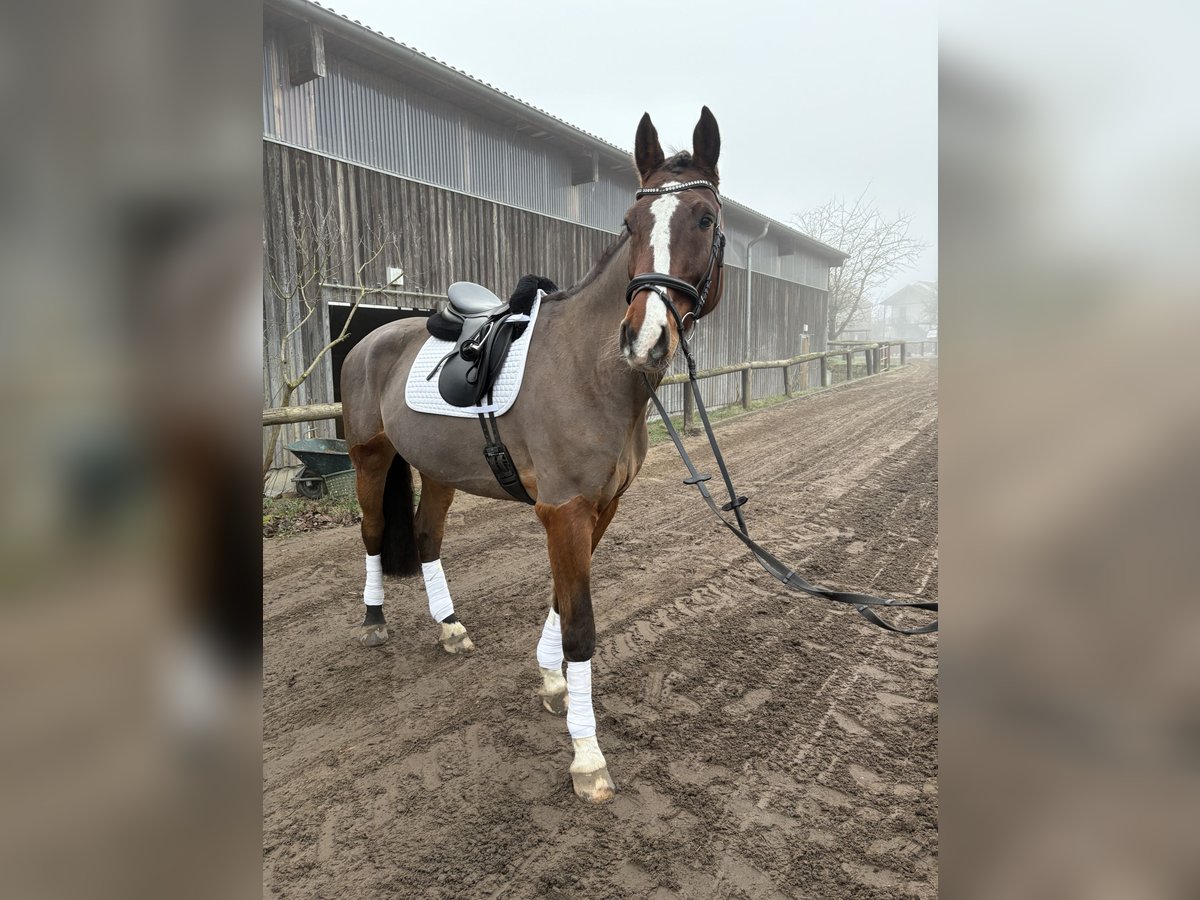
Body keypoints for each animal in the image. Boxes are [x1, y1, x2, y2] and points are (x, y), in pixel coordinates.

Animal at [343, 107, 724, 801]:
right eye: (630, 224)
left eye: (704, 219)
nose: (644, 339)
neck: (591, 369)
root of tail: (370, 337)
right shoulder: (564, 510)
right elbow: (581, 625)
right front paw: (587, 757)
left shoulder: (599, 507)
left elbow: (560, 599)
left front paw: (551, 682)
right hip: (370, 458)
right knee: (375, 531)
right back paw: (375, 620)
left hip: (439, 470)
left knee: (428, 538)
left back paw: (450, 627)